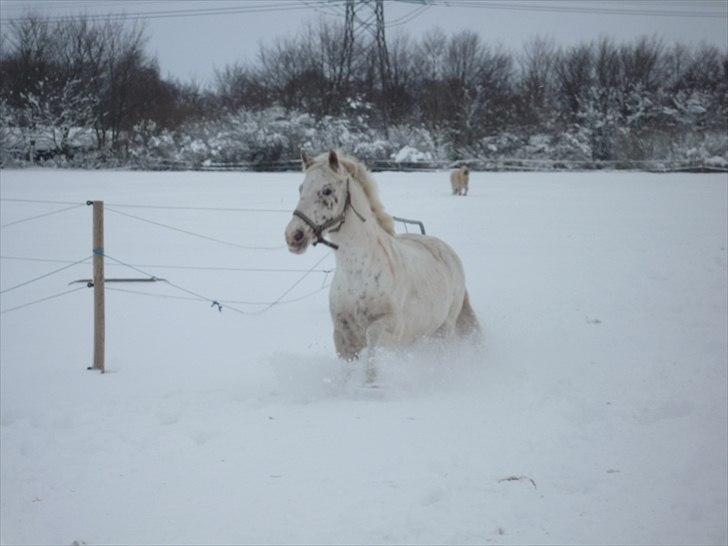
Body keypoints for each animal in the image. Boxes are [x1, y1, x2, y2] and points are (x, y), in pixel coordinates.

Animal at [285, 150, 481, 382]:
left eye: (327, 190)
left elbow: (372, 366)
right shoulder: (343, 335)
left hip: (444, 330)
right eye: (301, 188)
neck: (359, 271)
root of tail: (447, 251)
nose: (293, 236)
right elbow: (347, 372)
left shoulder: (385, 330)